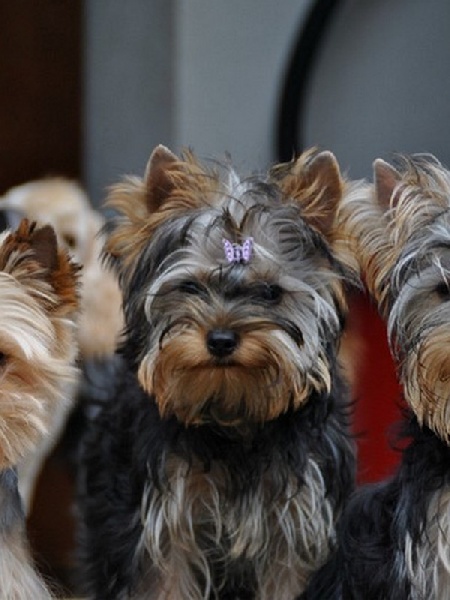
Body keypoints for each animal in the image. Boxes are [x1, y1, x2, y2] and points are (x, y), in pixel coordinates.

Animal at [77, 145, 358, 600]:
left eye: (270, 292)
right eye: (190, 287)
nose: (222, 339)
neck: (234, 416)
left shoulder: (299, 525)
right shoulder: (163, 522)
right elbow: (163, 579)